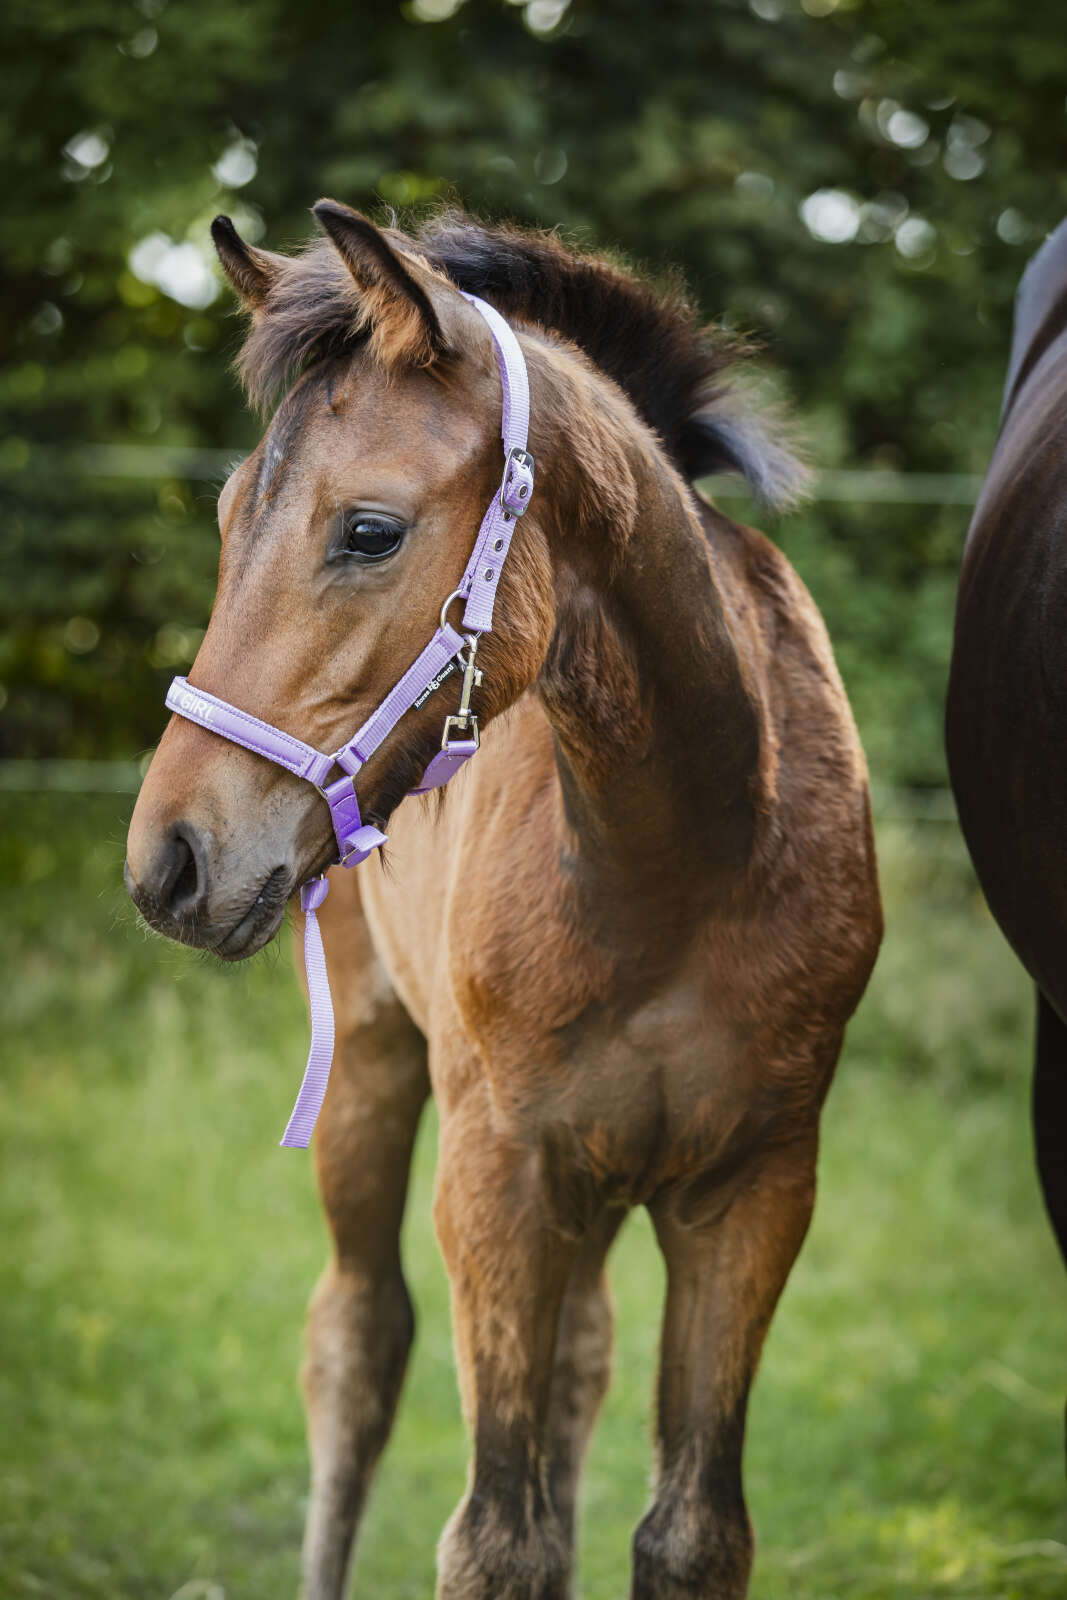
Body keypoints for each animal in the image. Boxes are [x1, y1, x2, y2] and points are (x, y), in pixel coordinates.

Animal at [125, 201, 882, 1600]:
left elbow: (691, 1529)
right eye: (225, 515)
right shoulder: (498, 1180)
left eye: (368, 530)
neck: (675, 866)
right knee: (354, 1347)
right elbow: (496, 1537)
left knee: (574, 1360)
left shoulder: (751, 1188)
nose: (171, 861)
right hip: (371, 1069)